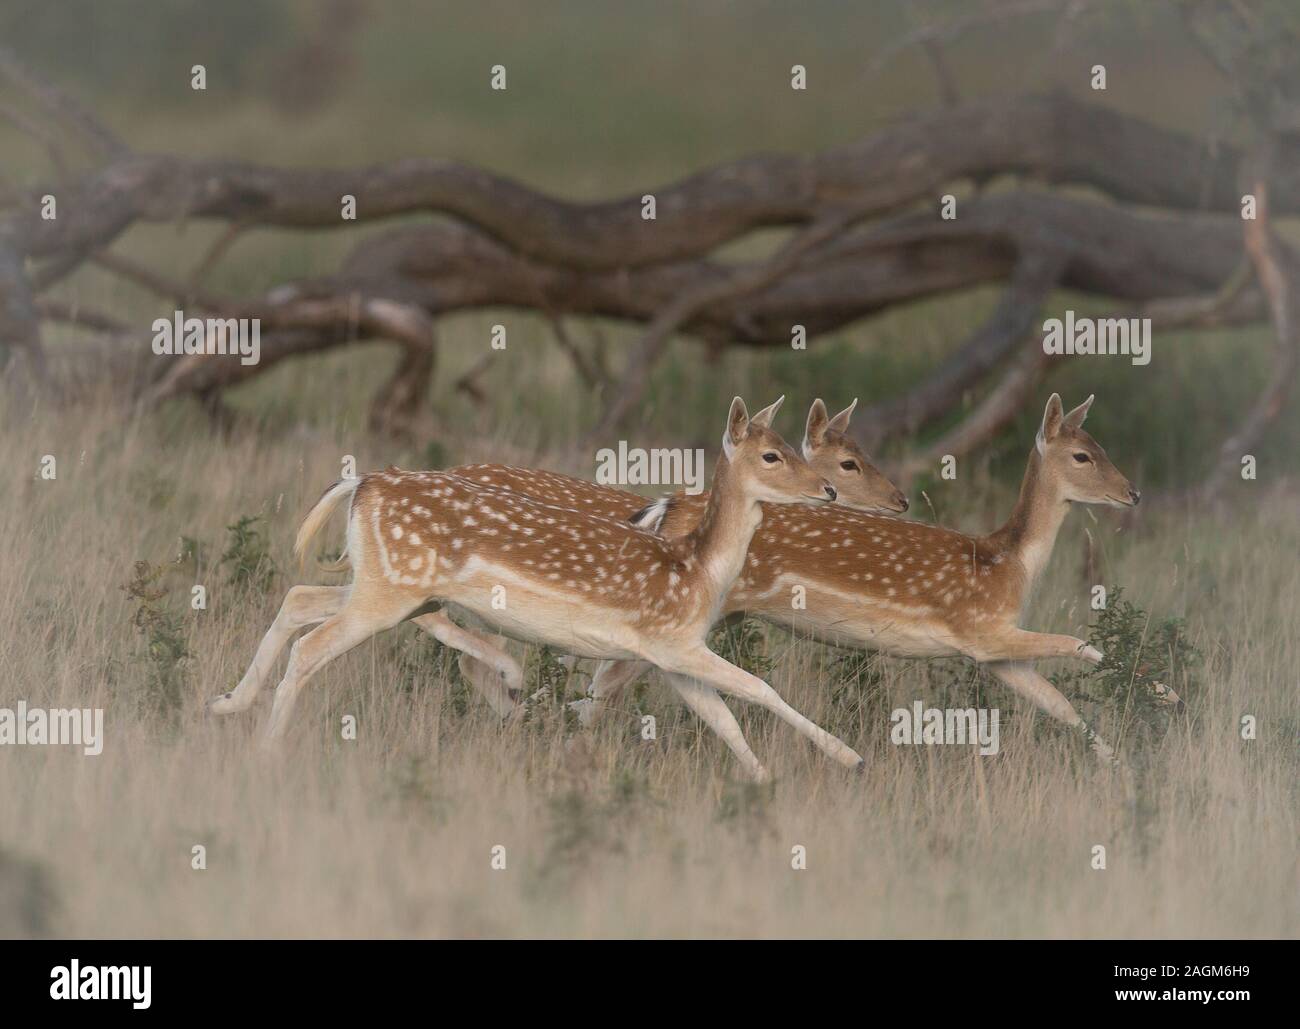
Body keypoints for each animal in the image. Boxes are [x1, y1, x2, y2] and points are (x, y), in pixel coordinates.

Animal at [208, 397, 867, 781]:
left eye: (792, 446)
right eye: (772, 454)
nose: (828, 491)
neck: (698, 571)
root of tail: (361, 483)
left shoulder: (668, 653)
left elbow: (723, 718)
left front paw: (764, 782)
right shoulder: (671, 640)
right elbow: (758, 688)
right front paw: (850, 758)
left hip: (385, 585)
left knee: (298, 599)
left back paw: (226, 703)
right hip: (391, 591)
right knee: (311, 645)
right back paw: (266, 750)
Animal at [448, 394, 1177, 764]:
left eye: (1103, 447)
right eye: (1083, 454)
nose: (1135, 493)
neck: (1007, 561)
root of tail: (670, 507)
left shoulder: (993, 652)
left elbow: (1063, 707)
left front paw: (1119, 760)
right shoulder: (981, 629)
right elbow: (1079, 646)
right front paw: (1166, 692)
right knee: (597, 680)